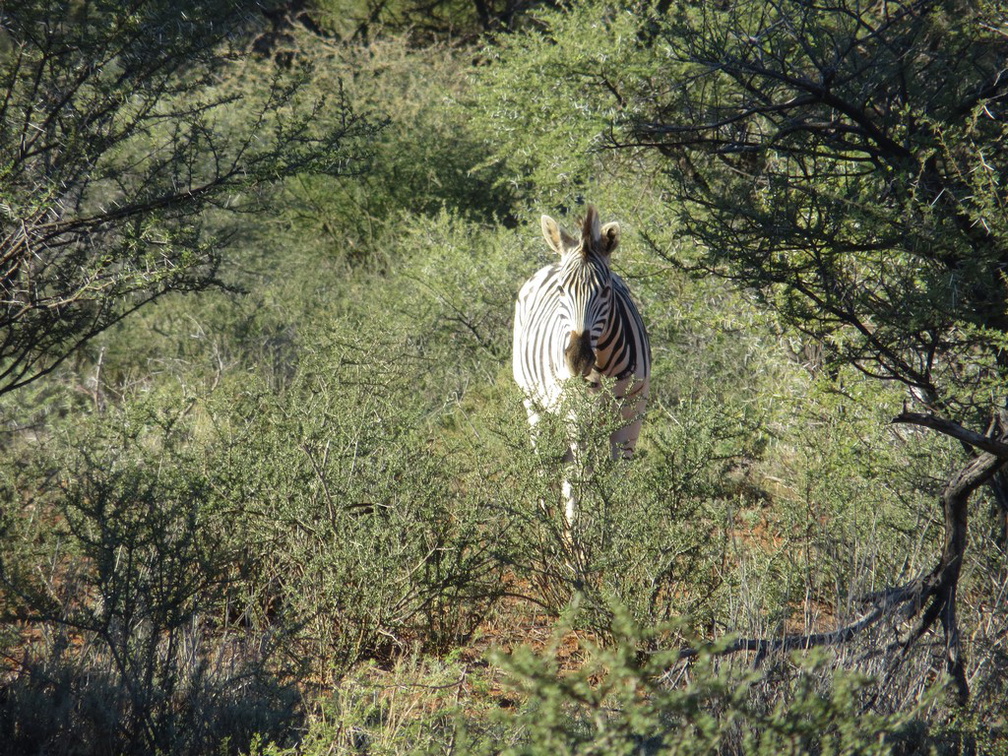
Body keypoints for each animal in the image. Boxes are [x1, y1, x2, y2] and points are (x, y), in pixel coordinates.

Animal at [516, 204, 649, 528]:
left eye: (605, 290)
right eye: (562, 290)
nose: (578, 360)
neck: (605, 367)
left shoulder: (632, 416)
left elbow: (617, 481)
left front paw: (615, 531)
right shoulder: (577, 416)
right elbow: (582, 479)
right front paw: (582, 534)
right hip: (535, 404)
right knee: (547, 465)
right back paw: (549, 525)